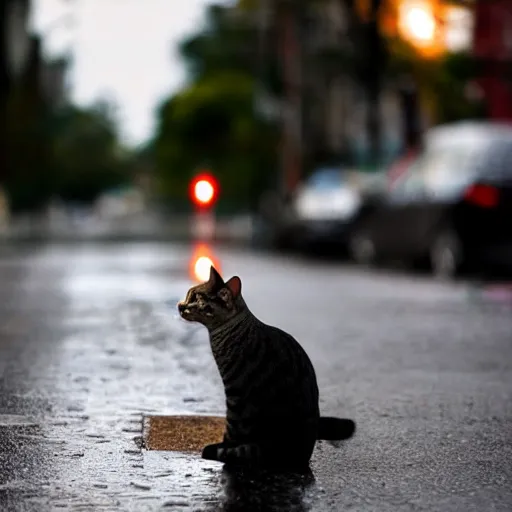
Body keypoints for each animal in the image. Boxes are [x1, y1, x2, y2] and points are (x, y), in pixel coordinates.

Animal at [178, 268, 354, 472]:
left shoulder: (234, 393)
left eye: (194, 297)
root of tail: (299, 455)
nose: (180, 305)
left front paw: (221, 447)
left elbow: (230, 429)